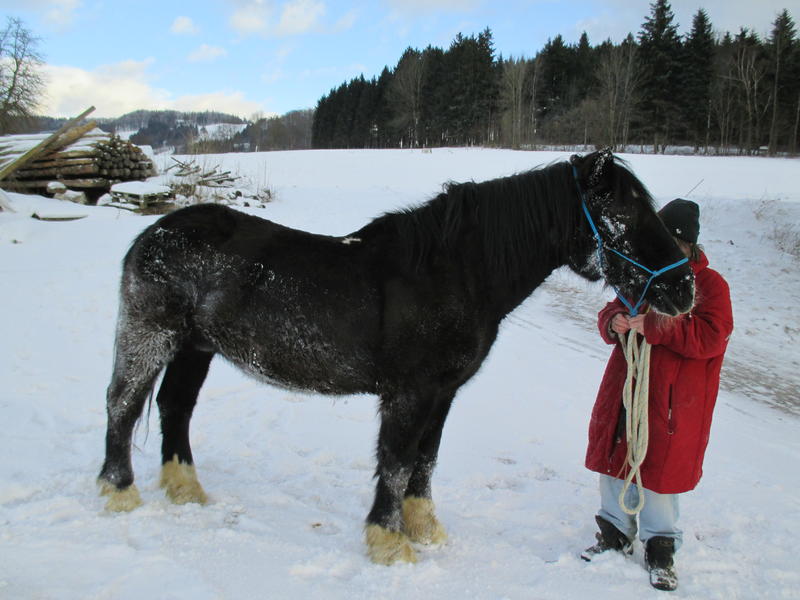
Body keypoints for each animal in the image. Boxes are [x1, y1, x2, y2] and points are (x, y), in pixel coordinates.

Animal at [97, 149, 692, 564]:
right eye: (624, 210)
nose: (683, 289)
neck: (454, 273)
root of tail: (154, 232)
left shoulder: (442, 393)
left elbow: (424, 461)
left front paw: (424, 530)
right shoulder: (411, 393)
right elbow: (398, 460)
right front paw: (389, 544)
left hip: (195, 348)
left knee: (174, 407)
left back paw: (185, 491)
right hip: (150, 335)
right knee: (123, 404)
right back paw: (119, 493)